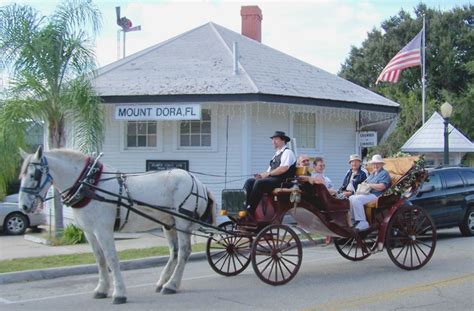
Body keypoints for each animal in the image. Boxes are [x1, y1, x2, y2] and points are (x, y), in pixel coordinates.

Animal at [18, 147, 217, 304]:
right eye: (22, 174)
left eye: (34, 175)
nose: (24, 206)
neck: (90, 185)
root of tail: (197, 181)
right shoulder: (89, 232)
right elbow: (100, 259)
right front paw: (101, 289)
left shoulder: (103, 230)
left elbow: (112, 259)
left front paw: (119, 293)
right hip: (169, 223)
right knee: (174, 252)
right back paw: (162, 282)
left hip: (182, 221)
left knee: (184, 252)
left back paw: (172, 285)